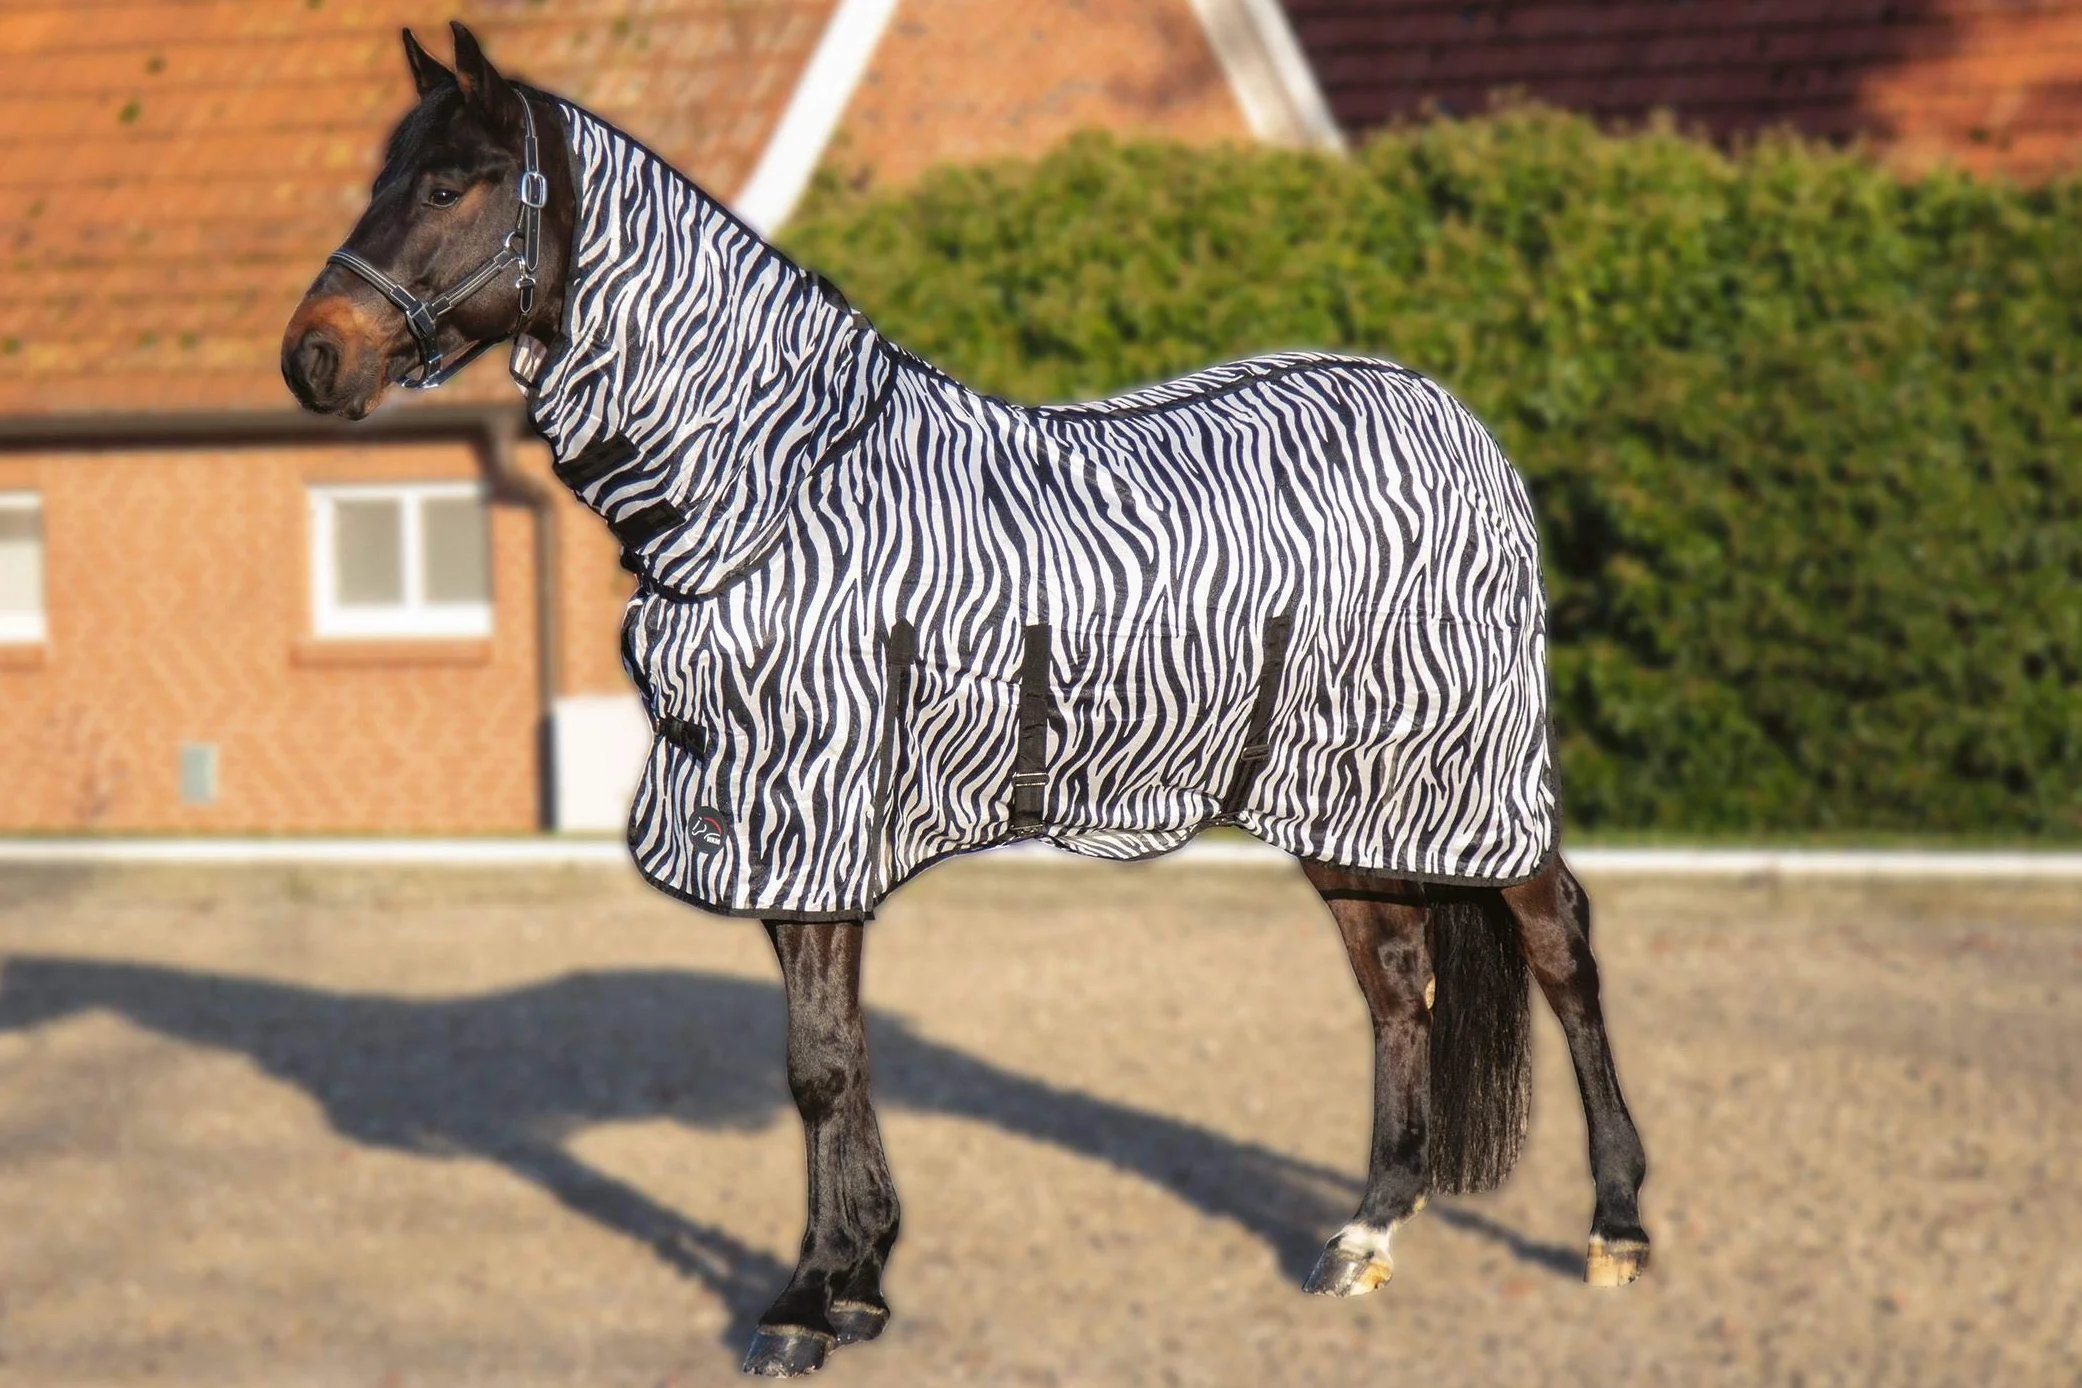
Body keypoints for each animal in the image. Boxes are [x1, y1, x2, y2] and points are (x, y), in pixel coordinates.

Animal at [282, 24, 1650, 1378]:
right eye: (382, 175)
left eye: (449, 186)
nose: (313, 356)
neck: (775, 490)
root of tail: (1456, 418)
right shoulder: (779, 827)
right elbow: (837, 1054)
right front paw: (861, 1280)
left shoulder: (812, 807)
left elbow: (819, 1066)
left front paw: (803, 1302)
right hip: (1342, 795)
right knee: (1398, 983)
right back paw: (1364, 1234)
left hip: (1470, 771)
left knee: (1563, 948)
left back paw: (1617, 1228)